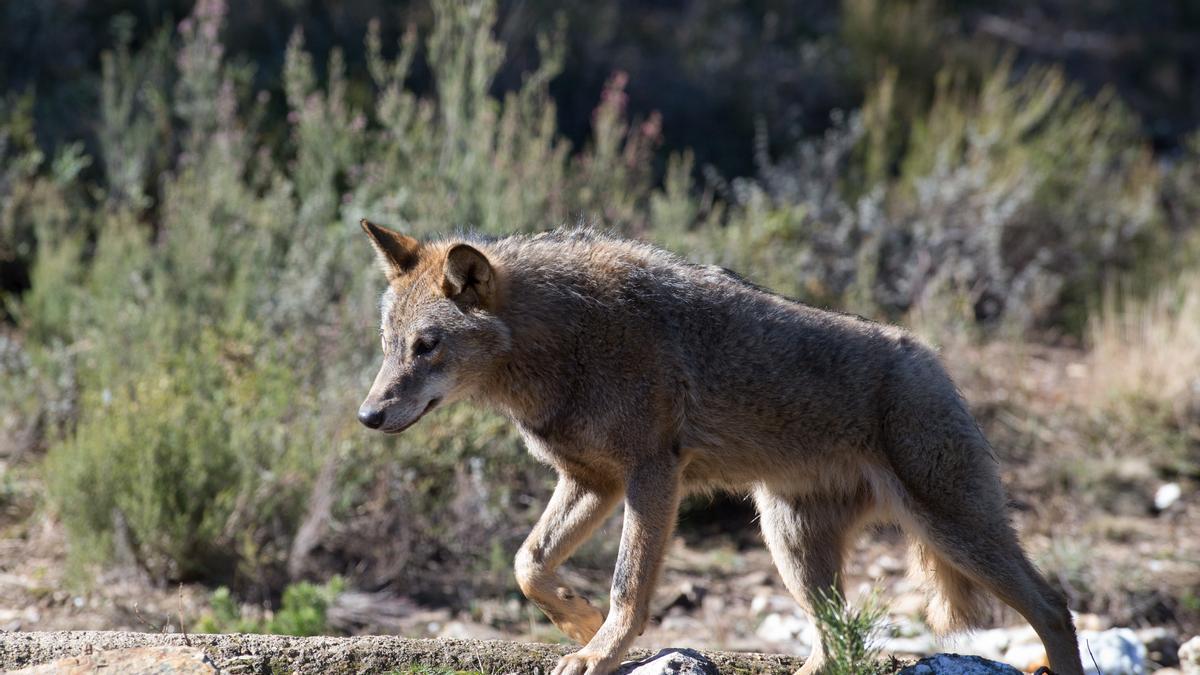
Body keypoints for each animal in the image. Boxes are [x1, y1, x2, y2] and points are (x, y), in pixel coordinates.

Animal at [355, 220, 1089, 672]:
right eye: (389, 346)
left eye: (427, 346)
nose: (367, 414)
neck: (565, 340)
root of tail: (934, 360)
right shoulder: (594, 482)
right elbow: (527, 563)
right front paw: (579, 622)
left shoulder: (651, 476)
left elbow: (628, 587)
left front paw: (599, 650)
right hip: (792, 545)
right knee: (838, 638)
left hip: (953, 531)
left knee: (1055, 608)